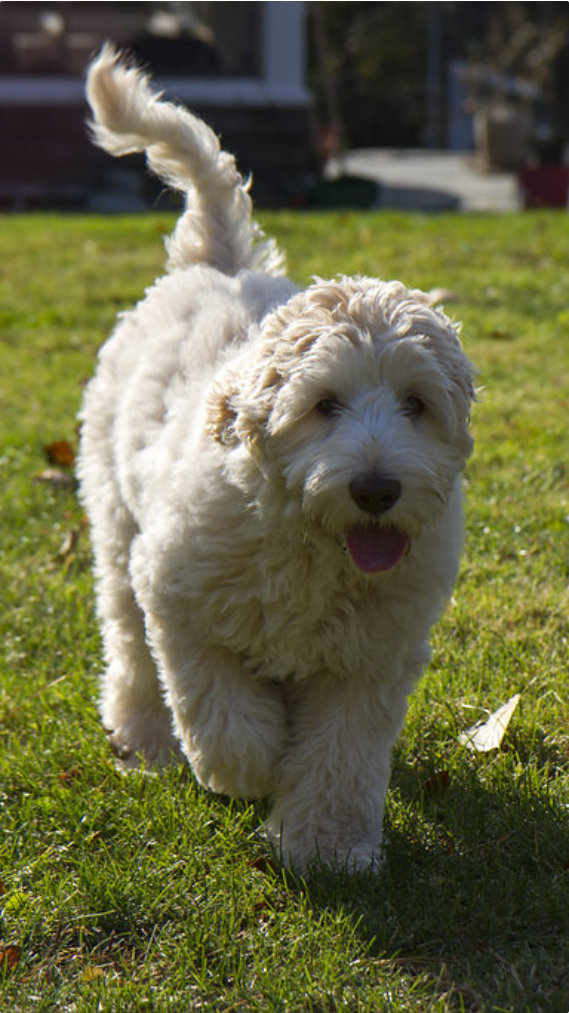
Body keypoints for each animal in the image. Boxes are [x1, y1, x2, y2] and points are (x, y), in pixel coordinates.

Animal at [79, 45, 475, 871]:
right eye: (323, 404)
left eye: (415, 405)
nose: (376, 489)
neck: (313, 546)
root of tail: (221, 260)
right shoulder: (177, 597)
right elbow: (224, 713)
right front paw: (251, 766)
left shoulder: (371, 657)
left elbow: (340, 753)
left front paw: (326, 845)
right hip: (113, 519)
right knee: (128, 643)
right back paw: (144, 737)